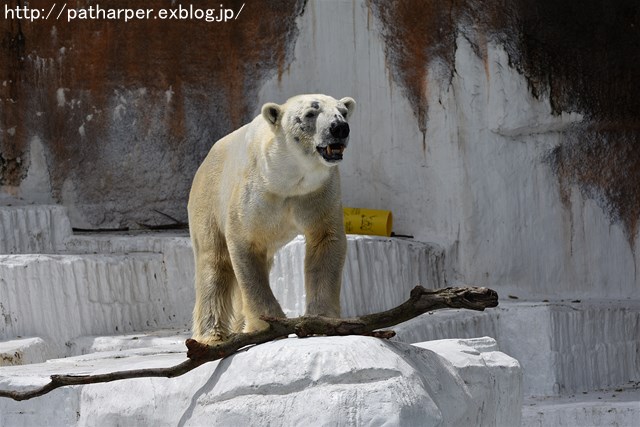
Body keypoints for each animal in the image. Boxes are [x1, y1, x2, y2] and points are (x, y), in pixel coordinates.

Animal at [188, 93, 358, 344]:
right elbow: (245, 245)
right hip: (208, 198)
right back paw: (213, 335)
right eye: (310, 113)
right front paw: (268, 324)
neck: (287, 179)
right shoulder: (254, 194)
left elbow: (325, 240)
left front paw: (322, 320)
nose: (339, 128)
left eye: (343, 112)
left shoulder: (317, 193)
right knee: (214, 261)